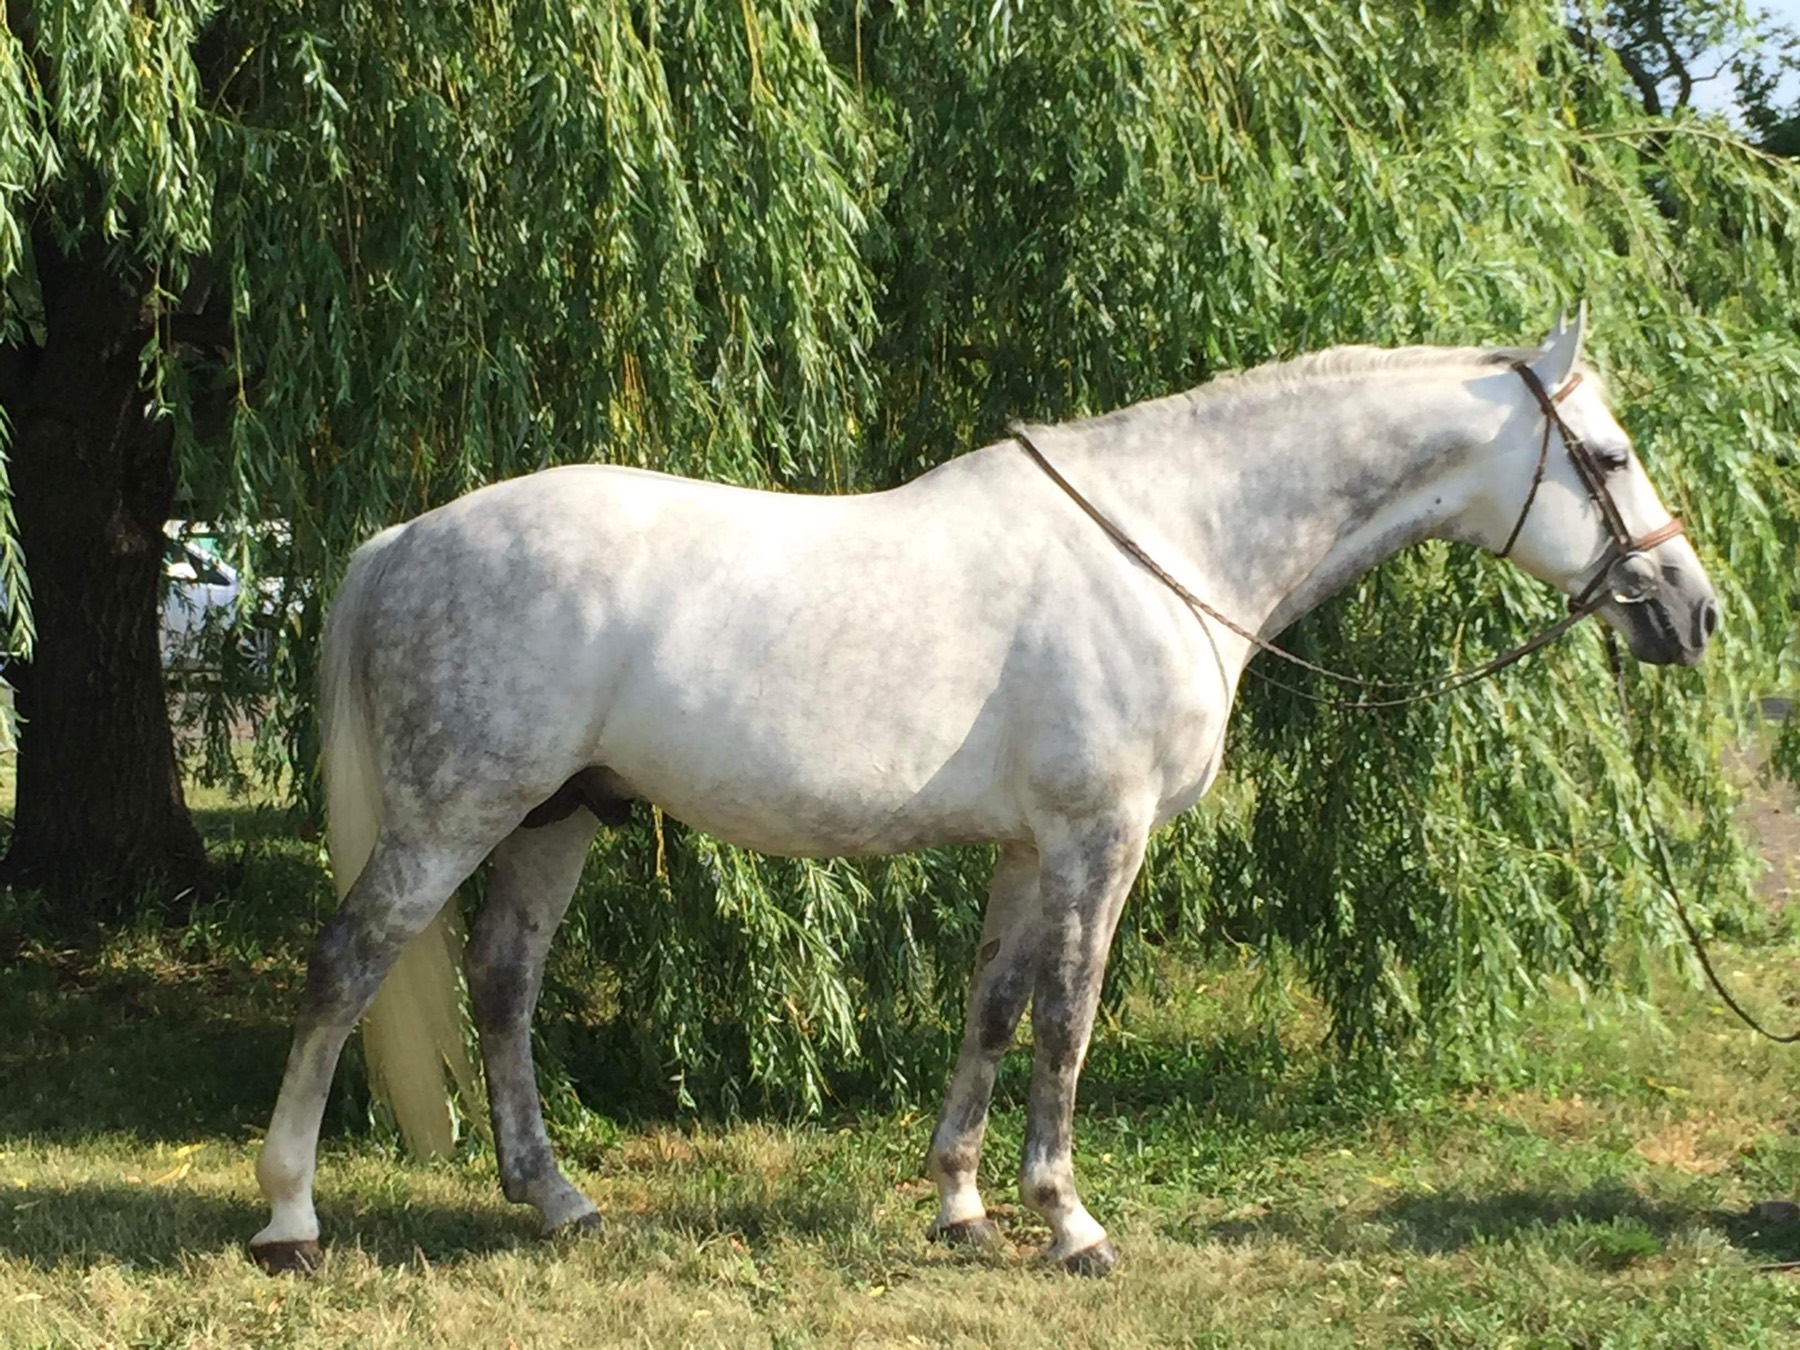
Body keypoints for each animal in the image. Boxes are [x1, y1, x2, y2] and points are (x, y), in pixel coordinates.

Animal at [249, 312, 1717, 1276]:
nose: (1691, 611)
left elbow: (994, 1012)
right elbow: (1068, 1025)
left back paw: (556, 1201)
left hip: (559, 817)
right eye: (1611, 454)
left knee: (501, 987)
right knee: (345, 969)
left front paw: (958, 1206)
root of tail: (404, 540)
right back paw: (290, 1220)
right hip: (450, 817)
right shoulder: (1099, 840)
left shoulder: (1028, 849)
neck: (1170, 542)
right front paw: (1069, 1224)